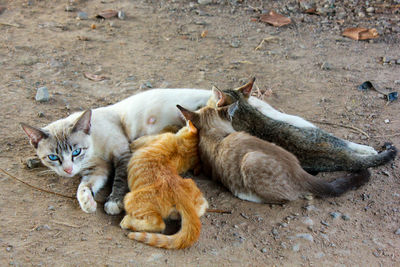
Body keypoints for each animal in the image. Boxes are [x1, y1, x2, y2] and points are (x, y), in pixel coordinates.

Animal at [119, 120, 208, 250]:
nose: (188, 121)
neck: (182, 151)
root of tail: (182, 197)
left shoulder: (143, 141)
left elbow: (137, 141)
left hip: (130, 199)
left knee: (159, 224)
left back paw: (127, 222)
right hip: (193, 187)